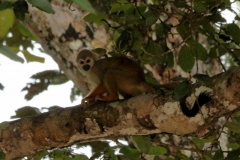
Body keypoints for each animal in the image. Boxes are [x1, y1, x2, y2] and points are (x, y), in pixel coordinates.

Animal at [76, 49, 211, 117]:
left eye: (88, 61)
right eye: (82, 62)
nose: (85, 66)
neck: (92, 68)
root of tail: (141, 80)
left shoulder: (97, 68)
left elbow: (103, 83)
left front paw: (88, 98)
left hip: (129, 80)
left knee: (109, 73)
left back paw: (112, 97)